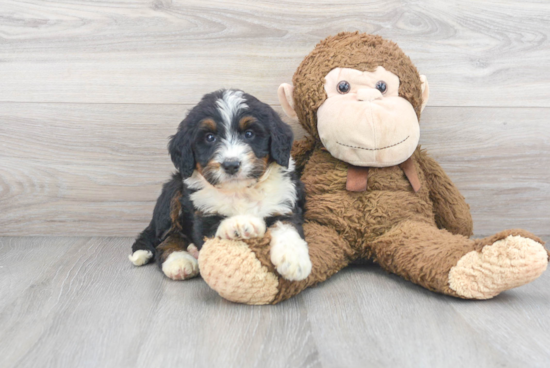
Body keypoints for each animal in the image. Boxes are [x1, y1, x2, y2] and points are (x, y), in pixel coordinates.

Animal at [127, 89, 312, 282]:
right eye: (210, 138)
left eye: (249, 134)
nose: (231, 165)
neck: (239, 190)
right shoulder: (201, 214)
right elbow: (212, 227)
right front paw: (238, 224)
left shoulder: (284, 204)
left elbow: (287, 227)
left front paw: (294, 261)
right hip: (173, 191)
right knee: (166, 238)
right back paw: (179, 261)